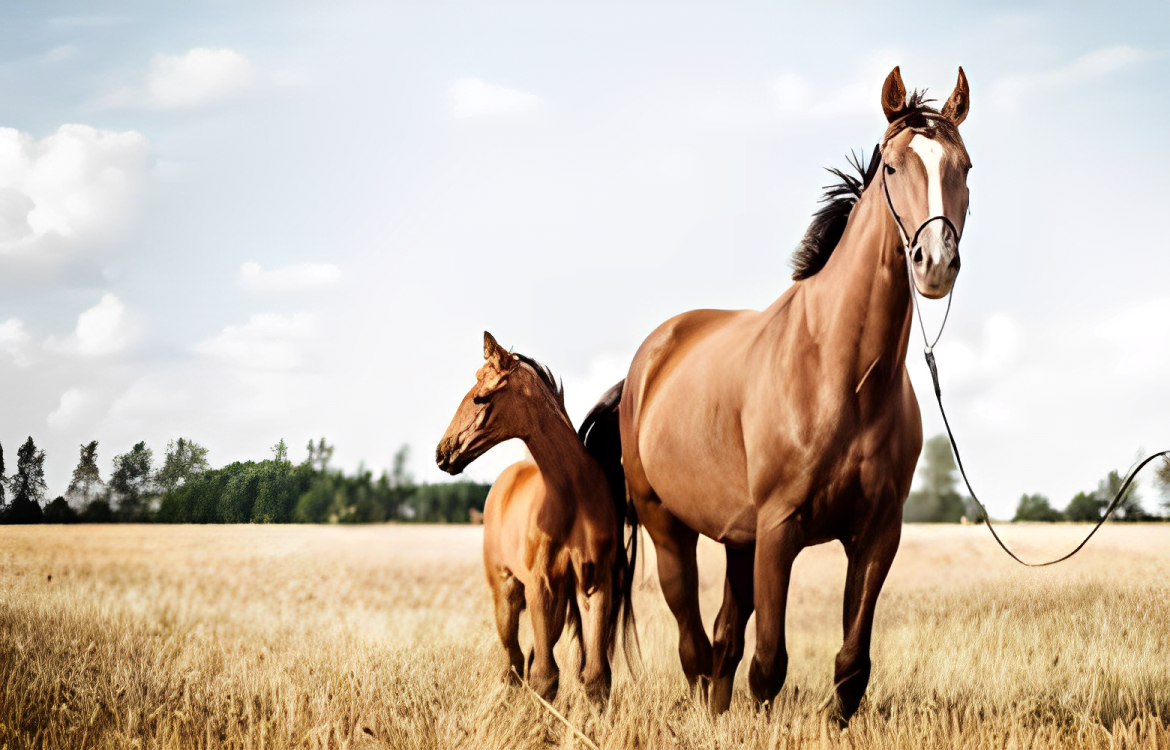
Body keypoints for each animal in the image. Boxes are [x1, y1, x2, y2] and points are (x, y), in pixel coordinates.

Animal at [432, 332, 631, 702]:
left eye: (481, 397)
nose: (443, 452)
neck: (571, 498)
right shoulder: (542, 586)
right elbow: (544, 677)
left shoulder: (594, 585)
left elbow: (596, 677)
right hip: (507, 593)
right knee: (513, 660)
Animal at [580, 67, 973, 720]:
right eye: (893, 167)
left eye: (964, 167)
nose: (934, 262)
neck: (841, 373)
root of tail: (644, 365)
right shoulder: (781, 528)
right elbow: (769, 667)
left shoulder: (876, 535)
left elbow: (850, 667)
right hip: (670, 529)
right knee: (694, 644)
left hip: (740, 539)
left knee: (721, 640)